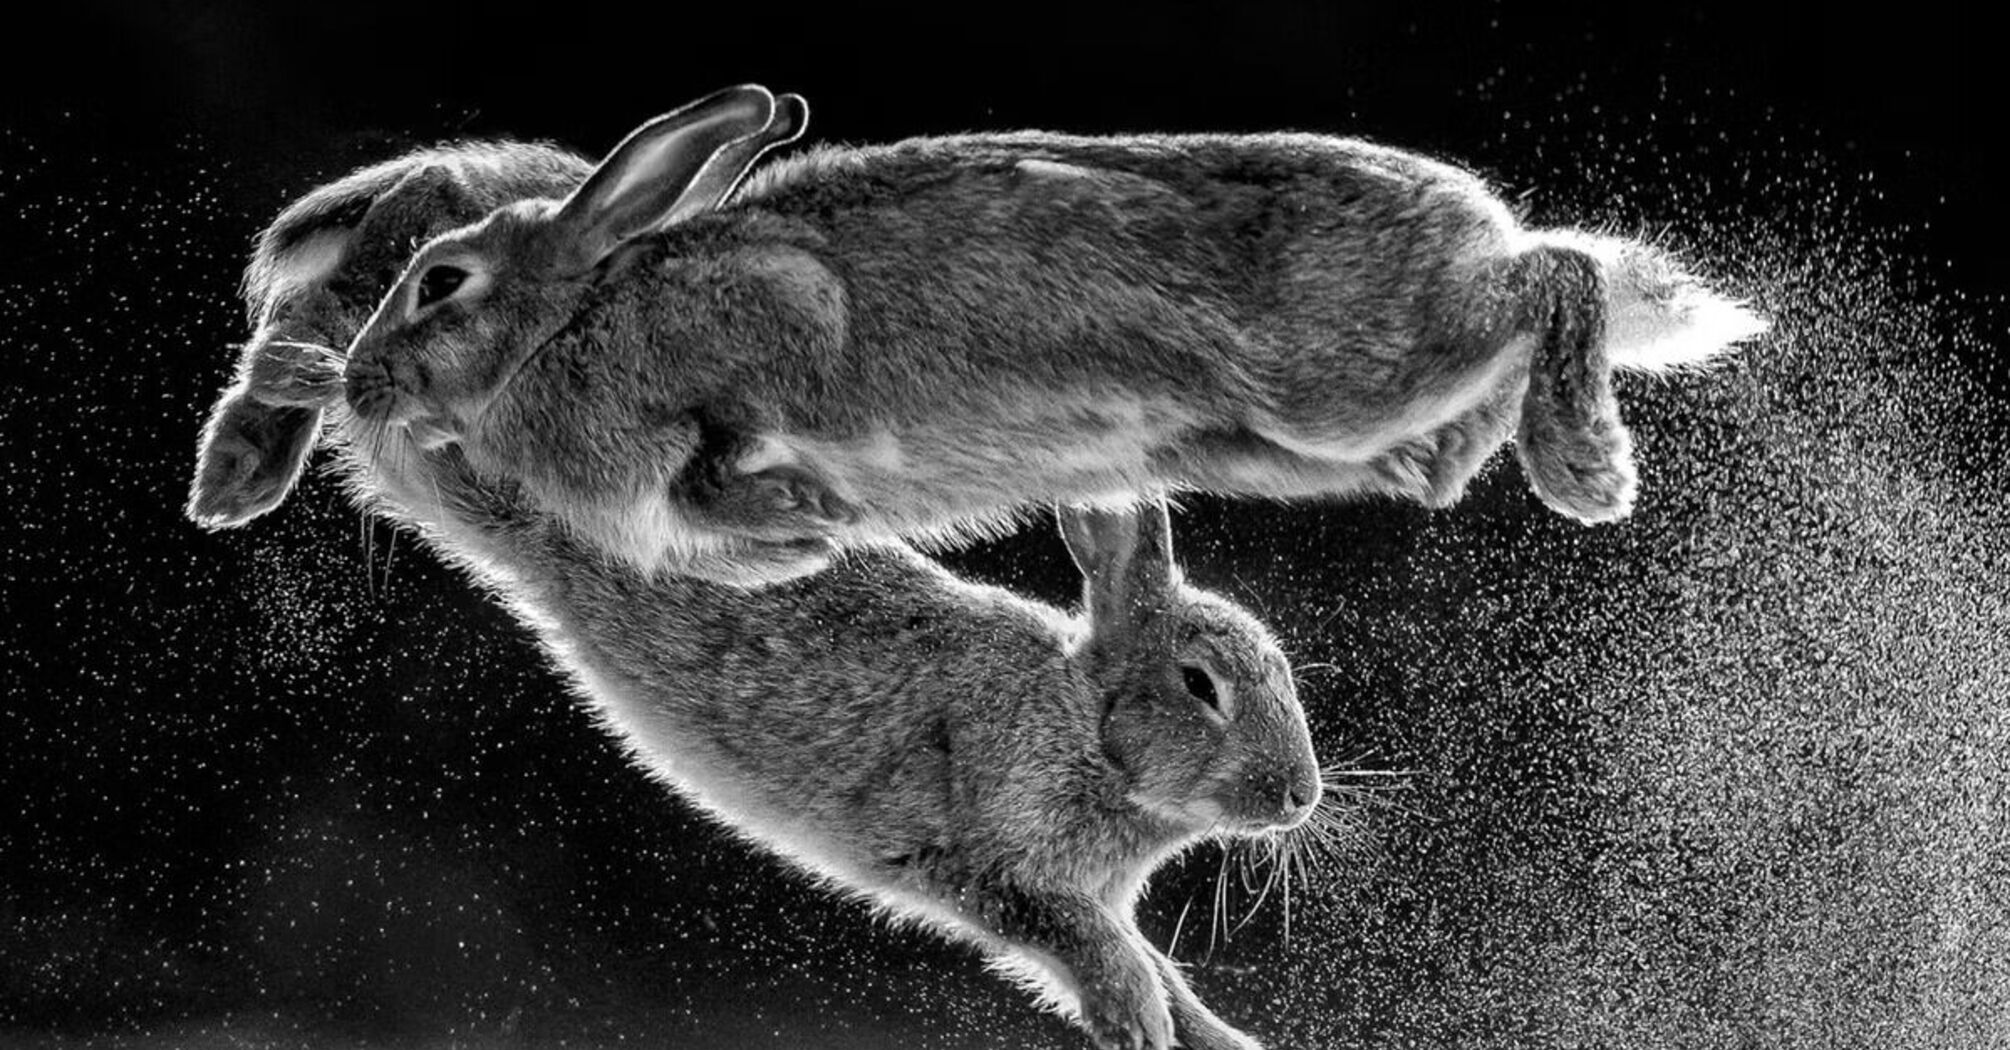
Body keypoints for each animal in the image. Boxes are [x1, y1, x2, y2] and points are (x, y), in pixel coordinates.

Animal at [339, 83, 1768, 585]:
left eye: (440, 283)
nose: (356, 386)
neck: (572, 322)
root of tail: (1471, 220)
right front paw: (804, 531)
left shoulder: (765, 321)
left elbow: (739, 429)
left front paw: (797, 497)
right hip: (1323, 441)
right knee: (1463, 415)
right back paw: (1484, 453)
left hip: (1339, 378)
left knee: (1559, 274)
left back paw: (1585, 467)